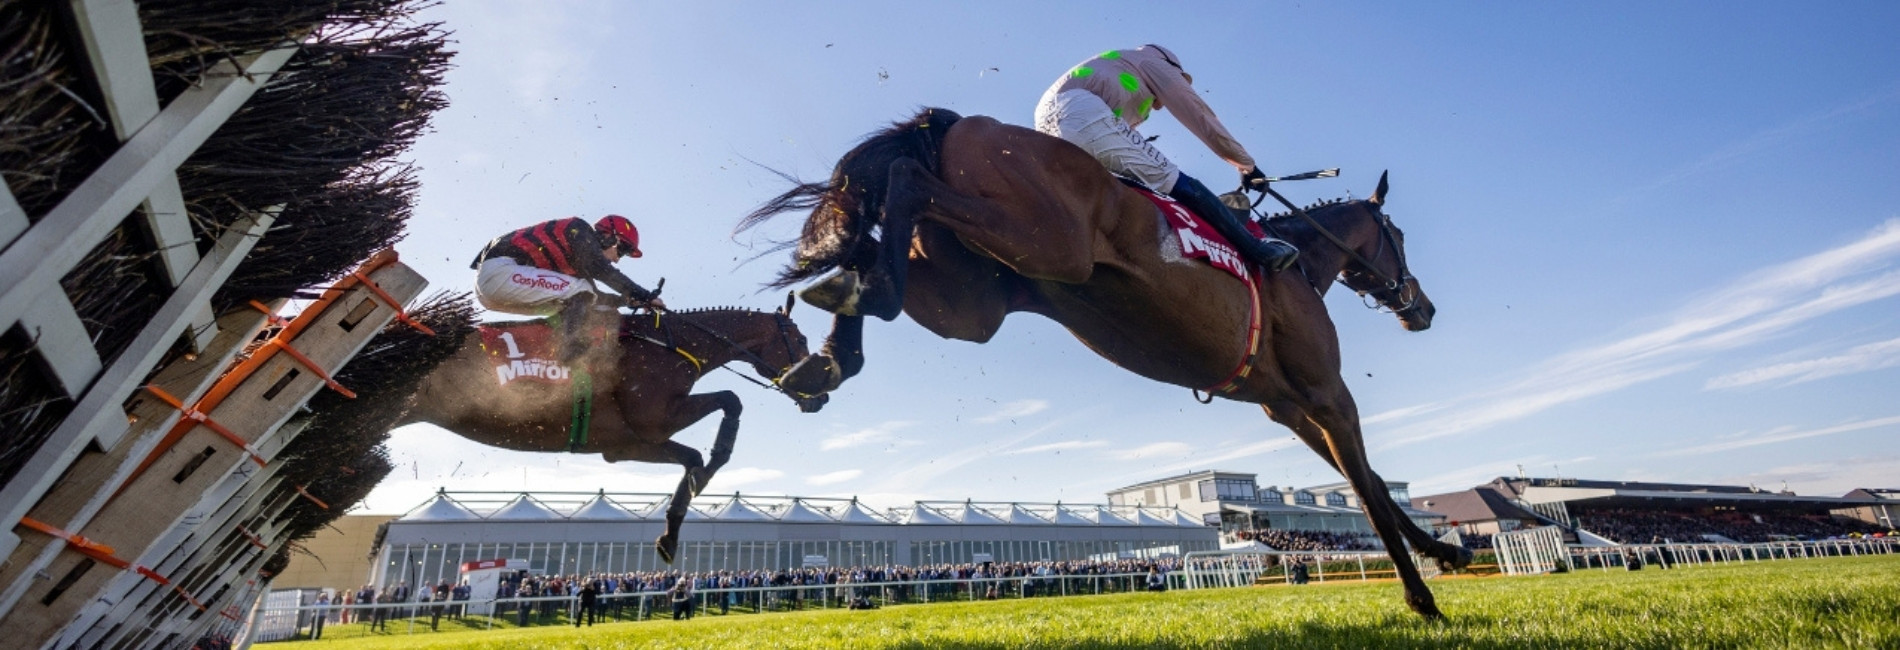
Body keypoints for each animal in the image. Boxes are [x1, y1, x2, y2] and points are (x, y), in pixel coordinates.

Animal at [400, 302, 824, 562]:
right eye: (801, 340)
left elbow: (691, 458)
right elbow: (731, 401)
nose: (820, 398)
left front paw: (671, 532)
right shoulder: (654, 421)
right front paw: (710, 468)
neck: (668, 346)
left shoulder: (625, 444)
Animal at [741, 107, 1466, 619]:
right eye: (1398, 236)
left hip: (971, 300)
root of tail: (954, 122)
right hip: (1049, 241)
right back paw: (853, 301)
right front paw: (1422, 598)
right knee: (904, 183)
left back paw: (840, 327)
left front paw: (1445, 549)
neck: (1299, 266)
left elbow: (1371, 483)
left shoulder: (1290, 406)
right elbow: (1368, 489)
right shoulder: (1327, 391)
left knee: (886, 249)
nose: (1423, 307)